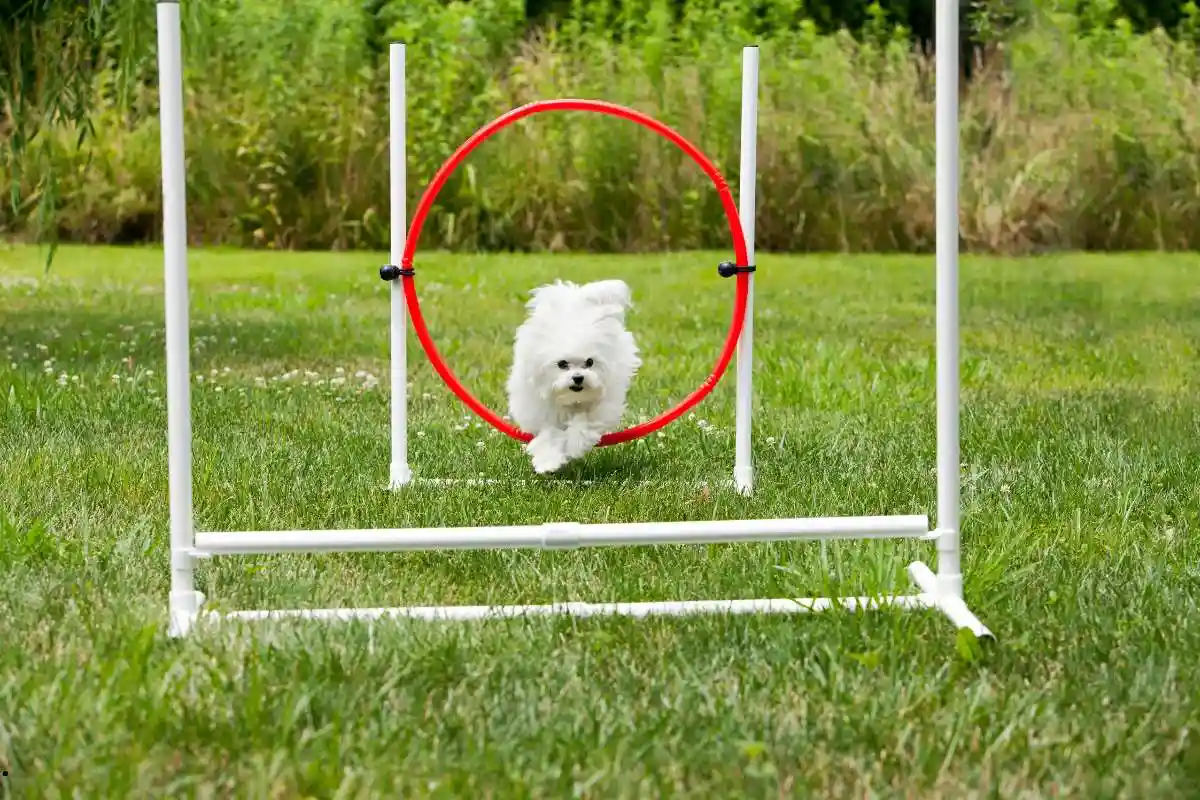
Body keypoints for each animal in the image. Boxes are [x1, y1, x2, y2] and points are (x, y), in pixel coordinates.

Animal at [504, 278, 643, 472]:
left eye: (590, 362)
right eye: (562, 364)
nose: (578, 377)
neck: (571, 400)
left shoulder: (603, 406)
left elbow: (582, 421)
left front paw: (574, 444)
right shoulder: (540, 409)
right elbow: (549, 433)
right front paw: (548, 461)